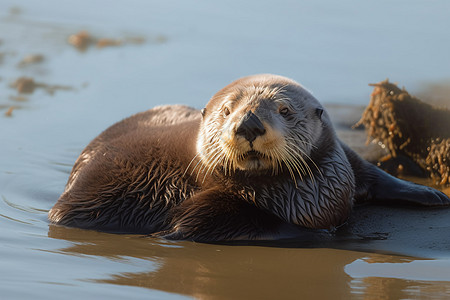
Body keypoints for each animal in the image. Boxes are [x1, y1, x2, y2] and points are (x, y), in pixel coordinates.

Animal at [49, 75, 450, 241]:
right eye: (227, 111)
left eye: (284, 110)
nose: (249, 124)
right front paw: (173, 228)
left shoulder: (338, 161)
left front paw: (432, 194)